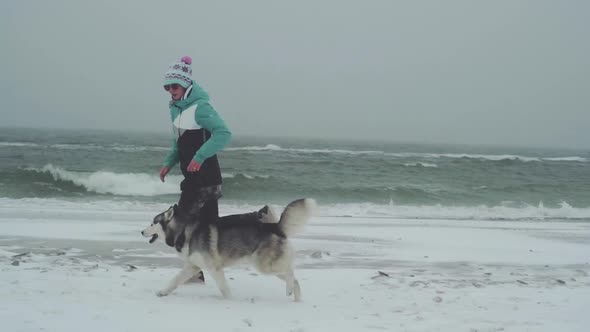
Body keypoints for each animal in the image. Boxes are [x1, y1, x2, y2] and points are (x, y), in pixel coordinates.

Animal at [141, 198, 316, 302]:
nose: (141, 232)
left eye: (152, 223)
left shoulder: (214, 268)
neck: (184, 230)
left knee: (290, 272)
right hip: (267, 266)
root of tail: (275, 226)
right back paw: (296, 299)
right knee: (295, 279)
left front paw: (230, 301)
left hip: (265, 266)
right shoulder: (193, 266)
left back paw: (289, 290)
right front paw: (163, 292)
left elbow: (224, 288)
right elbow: (174, 280)